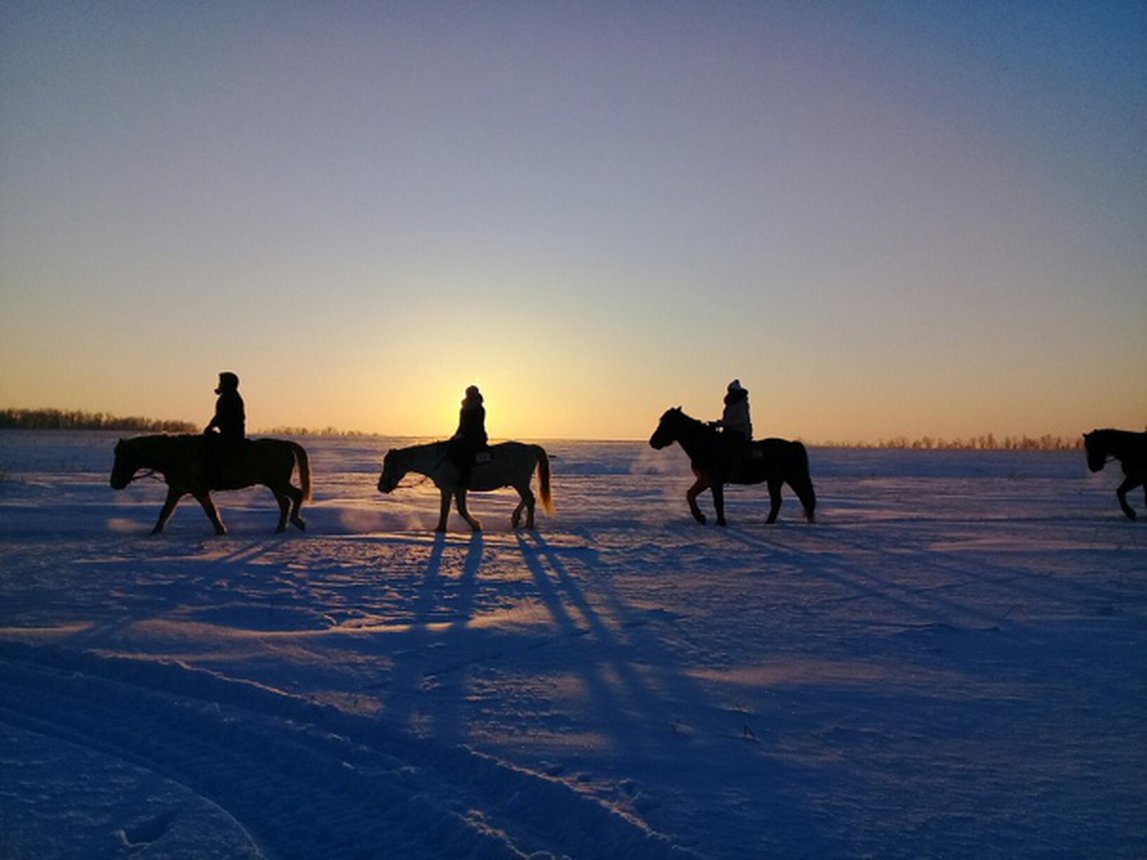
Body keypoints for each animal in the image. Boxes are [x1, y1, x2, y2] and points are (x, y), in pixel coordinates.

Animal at [110, 433, 311, 536]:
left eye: (123, 457)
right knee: (285, 503)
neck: (175, 454)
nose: (114, 483)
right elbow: (165, 512)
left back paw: (297, 522)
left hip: (278, 482)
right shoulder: (176, 490)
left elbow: (210, 511)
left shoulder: (199, 491)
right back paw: (280, 528)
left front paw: (220, 530)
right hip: (274, 484)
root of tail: (286, 444)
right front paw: (154, 532)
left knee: (297, 495)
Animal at [378, 444, 552, 532]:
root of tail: (530, 448)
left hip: (520, 482)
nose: (381, 486)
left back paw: (528, 525)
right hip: (518, 482)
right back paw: (516, 519)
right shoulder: (455, 490)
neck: (437, 460)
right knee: (527, 499)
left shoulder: (450, 489)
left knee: (530, 499)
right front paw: (442, 528)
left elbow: (452, 510)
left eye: (389, 465)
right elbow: (454, 509)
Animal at [656, 408, 816, 529]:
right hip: (775, 480)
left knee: (804, 498)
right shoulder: (706, 480)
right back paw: (768, 523)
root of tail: (792, 445)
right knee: (778, 501)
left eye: (666, 423)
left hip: (793, 477)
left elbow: (718, 502)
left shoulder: (715, 481)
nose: (653, 441)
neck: (706, 445)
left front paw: (719, 522)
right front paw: (700, 517)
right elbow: (690, 494)